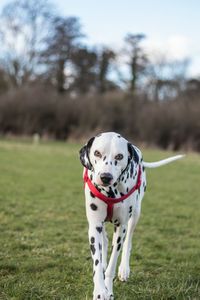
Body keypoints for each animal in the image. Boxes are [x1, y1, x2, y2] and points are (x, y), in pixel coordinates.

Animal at [79, 132, 184, 298]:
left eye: (119, 156)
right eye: (97, 153)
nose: (105, 177)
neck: (111, 191)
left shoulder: (120, 227)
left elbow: (112, 265)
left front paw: (109, 290)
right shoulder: (95, 225)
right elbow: (97, 262)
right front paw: (100, 291)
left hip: (135, 215)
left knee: (128, 241)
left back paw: (124, 269)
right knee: (105, 240)